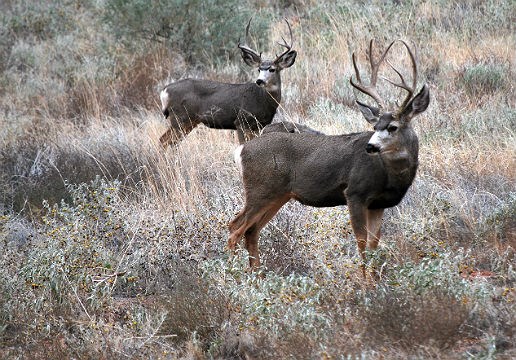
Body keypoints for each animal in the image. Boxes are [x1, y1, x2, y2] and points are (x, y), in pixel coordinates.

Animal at [157, 17, 296, 148]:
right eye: (259, 69)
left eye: (272, 69)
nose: (259, 80)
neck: (263, 100)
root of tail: (164, 91)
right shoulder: (241, 121)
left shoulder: (259, 126)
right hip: (180, 117)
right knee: (163, 141)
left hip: (189, 121)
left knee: (170, 142)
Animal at [228, 39, 430, 274]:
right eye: (375, 126)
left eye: (392, 127)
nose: (370, 146)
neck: (390, 175)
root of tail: (242, 150)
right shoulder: (355, 193)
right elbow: (362, 244)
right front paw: (365, 282)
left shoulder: (378, 204)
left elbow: (373, 245)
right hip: (260, 189)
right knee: (234, 228)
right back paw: (235, 275)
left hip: (278, 195)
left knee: (251, 231)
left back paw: (258, 276)